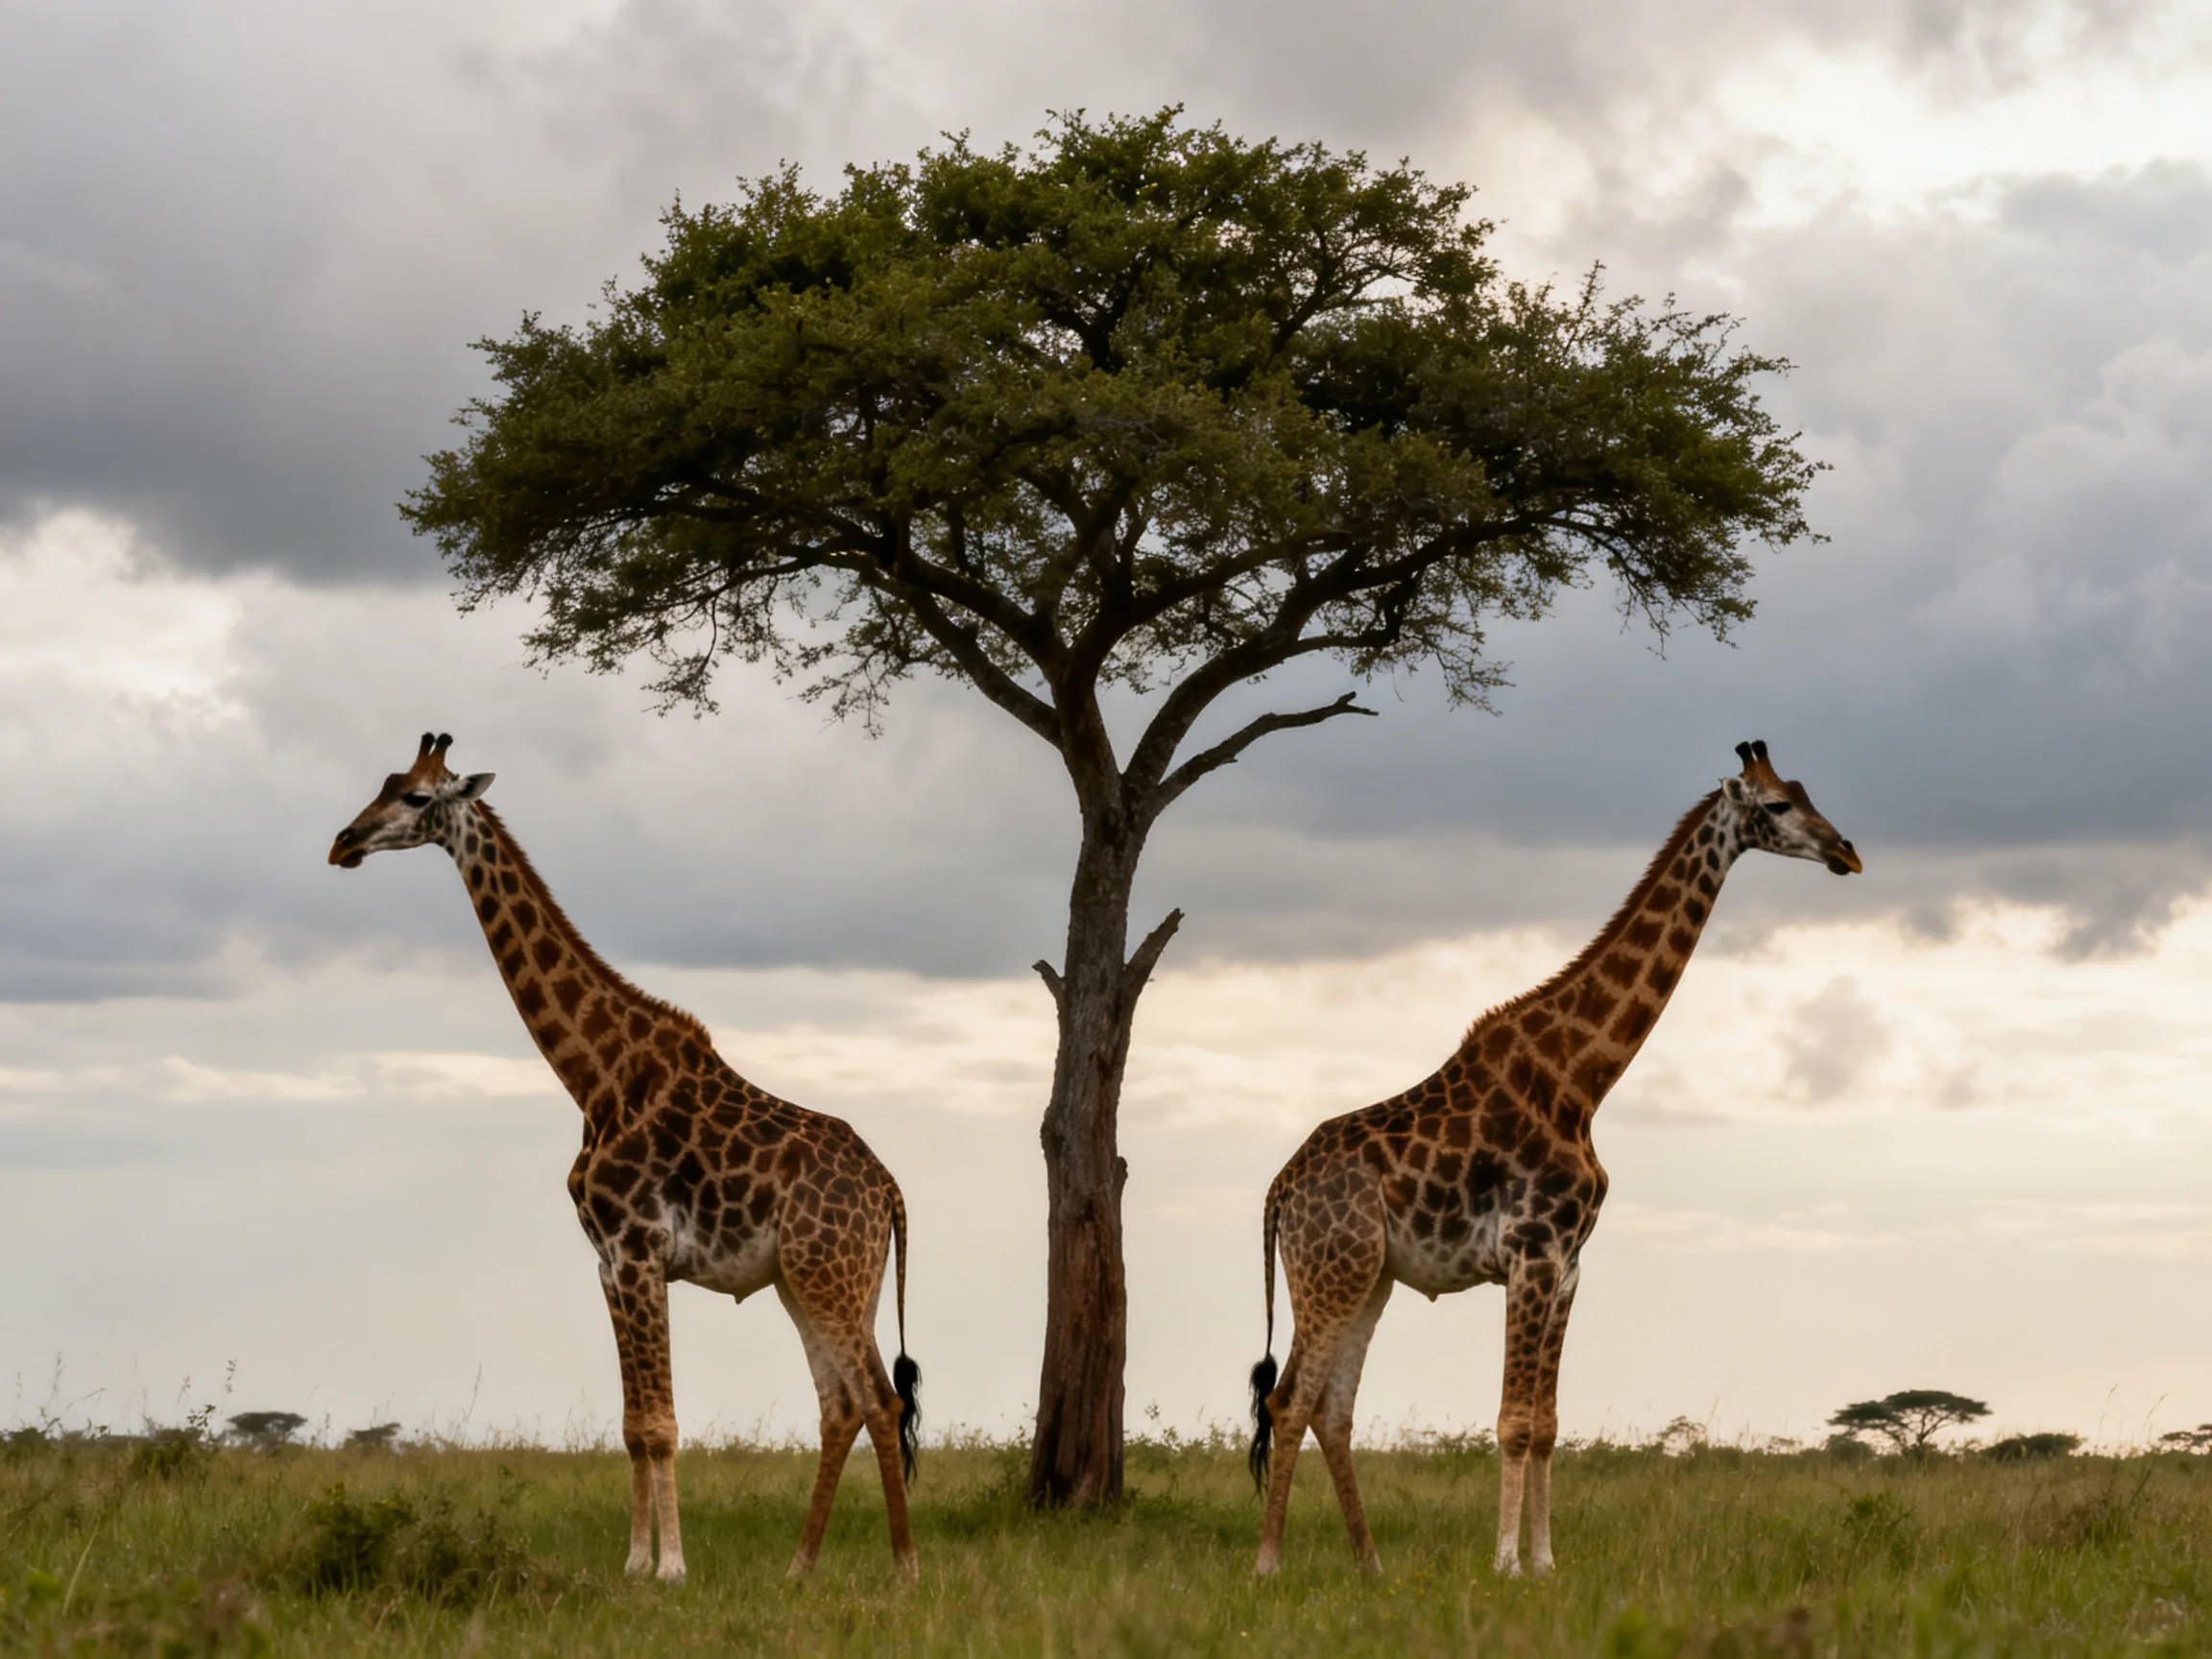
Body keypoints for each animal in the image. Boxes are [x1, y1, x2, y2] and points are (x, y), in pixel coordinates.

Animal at [329, 733, 921, 1583]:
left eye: (414, 797)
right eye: (384, 782)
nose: (343, 843)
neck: (595, 1076)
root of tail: (891, 1190)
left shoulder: (641, 1250)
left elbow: (662, 1422)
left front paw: (673, 1568)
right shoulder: (608, 1263)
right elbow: (632, 1425)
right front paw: (636, 1564)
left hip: (828, 1277)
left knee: (880, 1399)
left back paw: (904, 1570)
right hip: (817, 1280)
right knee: (841, 1404)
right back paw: (799, 1568)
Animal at [1246, 740, 1860, 1579]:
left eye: (1806, 791)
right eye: (1775, 807)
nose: (1846, 852)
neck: (1580, 1079)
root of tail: (1279, 1189)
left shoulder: (1569, 1263)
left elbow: (1547, 1423)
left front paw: (1543, 1564)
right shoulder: (1531, 1250)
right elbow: (1512, 1419)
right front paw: (1505, 1564)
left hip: (1369, 1276)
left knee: (1331, 1407)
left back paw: (1371, 1566)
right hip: (1328, 1270)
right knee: (1289, 1400)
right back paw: (1269, 1565)